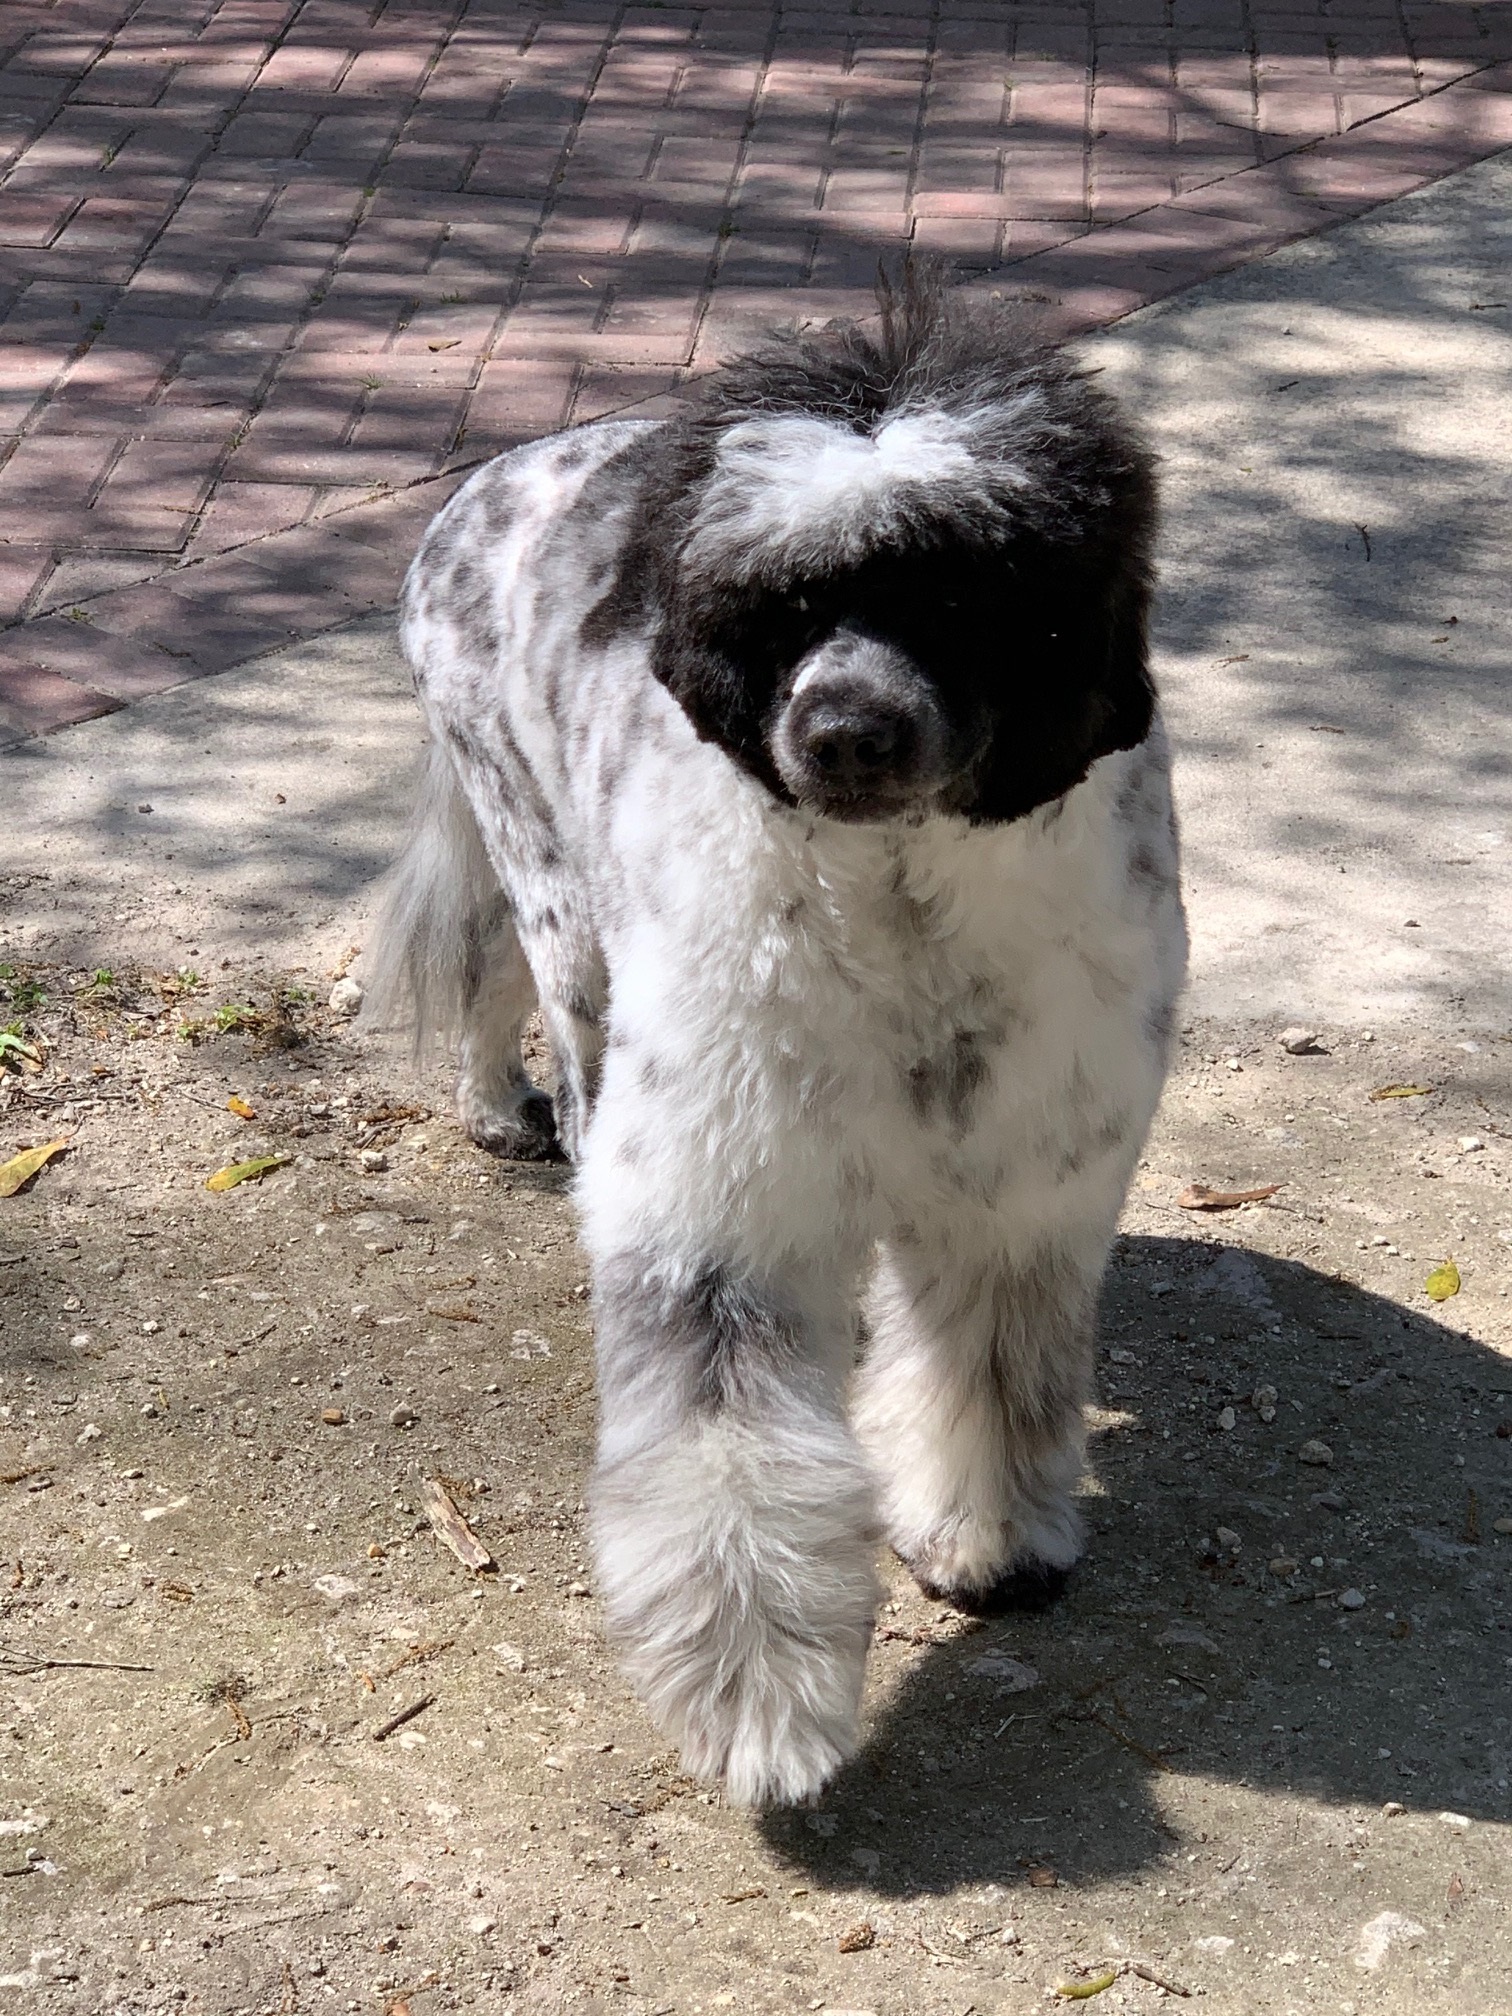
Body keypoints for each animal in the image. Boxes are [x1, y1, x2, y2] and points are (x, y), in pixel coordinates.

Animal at [370, 272, 1193, 1814]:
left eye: (963, 597)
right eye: (779, 605)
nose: (847, 728)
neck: (905, 908)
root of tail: (498, 474)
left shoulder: (1023, 1192)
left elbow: (990, 1377)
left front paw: (987, 1539)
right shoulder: (722, 1204)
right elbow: (727, 1465)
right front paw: (757, 1701)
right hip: (561, 898)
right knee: (524, 975)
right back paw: (515, 1110)